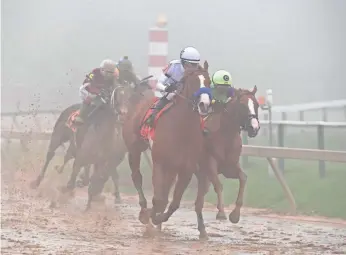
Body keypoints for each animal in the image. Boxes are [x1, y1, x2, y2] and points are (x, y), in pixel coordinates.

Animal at [123, 60, 212, 237]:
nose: (204, 105)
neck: (181, 128)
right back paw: (144, 209)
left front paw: (158, 218)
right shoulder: (160, 163)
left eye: (208, 82)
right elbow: (159, 199)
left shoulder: (186, 168)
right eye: (194, 81)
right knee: (137, 177)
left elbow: (174, 202)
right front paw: (148, 216)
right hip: (135, 149)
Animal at [195, 86, 260, 237]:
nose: (254, 128)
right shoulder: (210, 164)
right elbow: (219, 185)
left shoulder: (229, 167)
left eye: (257, 105)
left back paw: (202, 231)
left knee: (199, 200)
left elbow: (243, 177)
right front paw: (221, 213)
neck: (224, 135)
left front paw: (235, 215)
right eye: (243, 105)